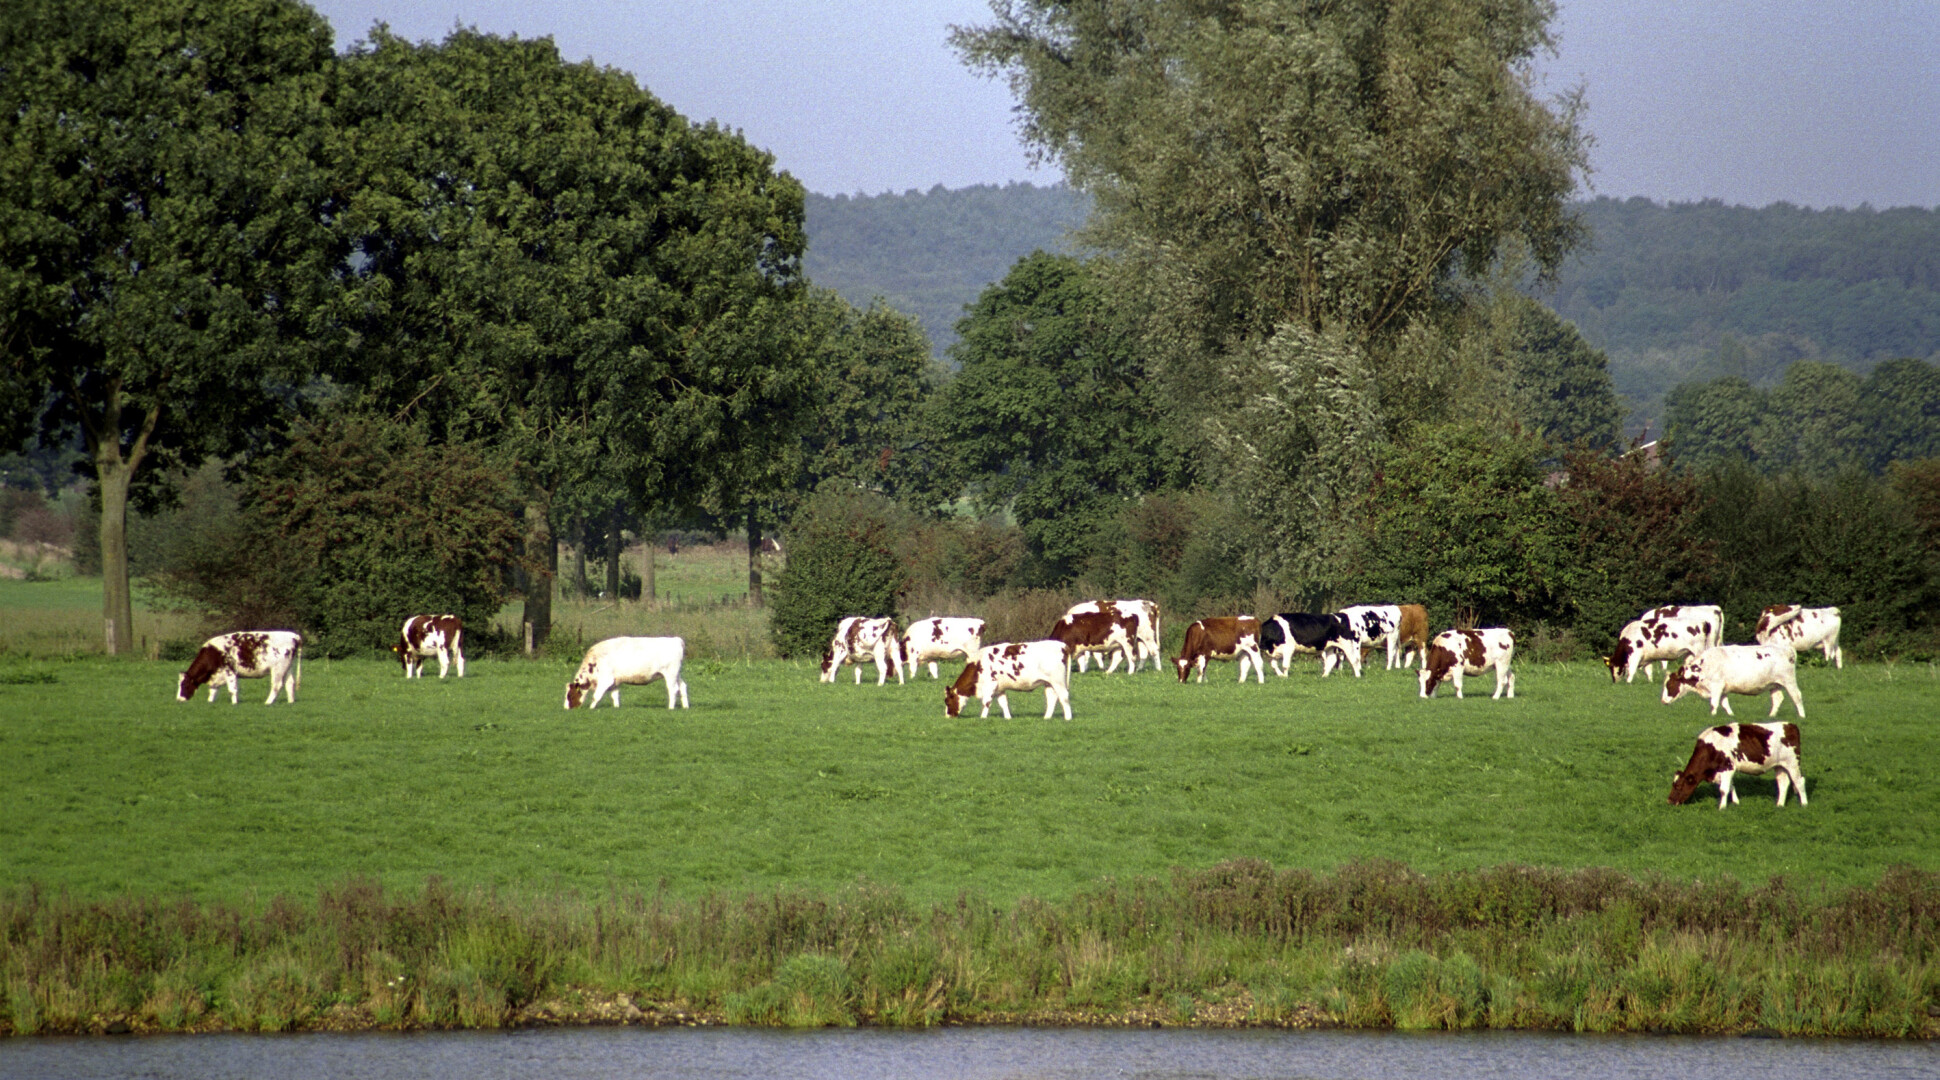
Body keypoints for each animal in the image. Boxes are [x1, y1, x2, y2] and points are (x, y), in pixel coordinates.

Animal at [562, 632, 690, 705]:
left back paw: (671, 708)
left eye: (569, 695)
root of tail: (675, 639)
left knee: (673, 690)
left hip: (670, 674)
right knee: (683, 687)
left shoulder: (605, 680)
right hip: (677, 674)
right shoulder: (615, 682)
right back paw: (685, 707)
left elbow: (596, 697)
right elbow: (615, 697)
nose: (566, 709)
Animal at [942, 635, 1078, 721]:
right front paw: (1008, 718)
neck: (978, 664)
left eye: (947, 701)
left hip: (1058, 681)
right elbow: (1003, 703)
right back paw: (1046, 718)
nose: (947, 716)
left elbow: (986, 702)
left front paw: (982, 718)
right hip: (1049, 683)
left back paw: (1068, 718)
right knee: (1052, 698)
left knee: (1064, 696)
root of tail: (1062, 645)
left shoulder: (990, 684)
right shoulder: (999, 688)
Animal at [1652, 639, 1800, 717]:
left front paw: (1712, 715)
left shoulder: (1717, 686)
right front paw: (1731, 715)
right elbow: (1724, 704)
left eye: (1670, 685)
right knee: (1778, 699)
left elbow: (1714, 703)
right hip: (1774, 684)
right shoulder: (1723, 689)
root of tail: (1786, 648)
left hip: (1789, 680)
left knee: (1797, 696)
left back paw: (1801, 716)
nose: (1663, 701)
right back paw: (1771, 716)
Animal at [1660, 725, 1808, 806]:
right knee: (1783, 783)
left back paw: (1804, 804)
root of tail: (1789, 725)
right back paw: (1780, 805)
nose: (1669, 801)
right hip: (1780, 766)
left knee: (1799, 781)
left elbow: (1724, 789)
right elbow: (1730, 786)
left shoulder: (1727, 767)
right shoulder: (1722, 771)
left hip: (1793, 763)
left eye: (1678, 786)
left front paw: (1722, 807)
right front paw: (1736, 802)